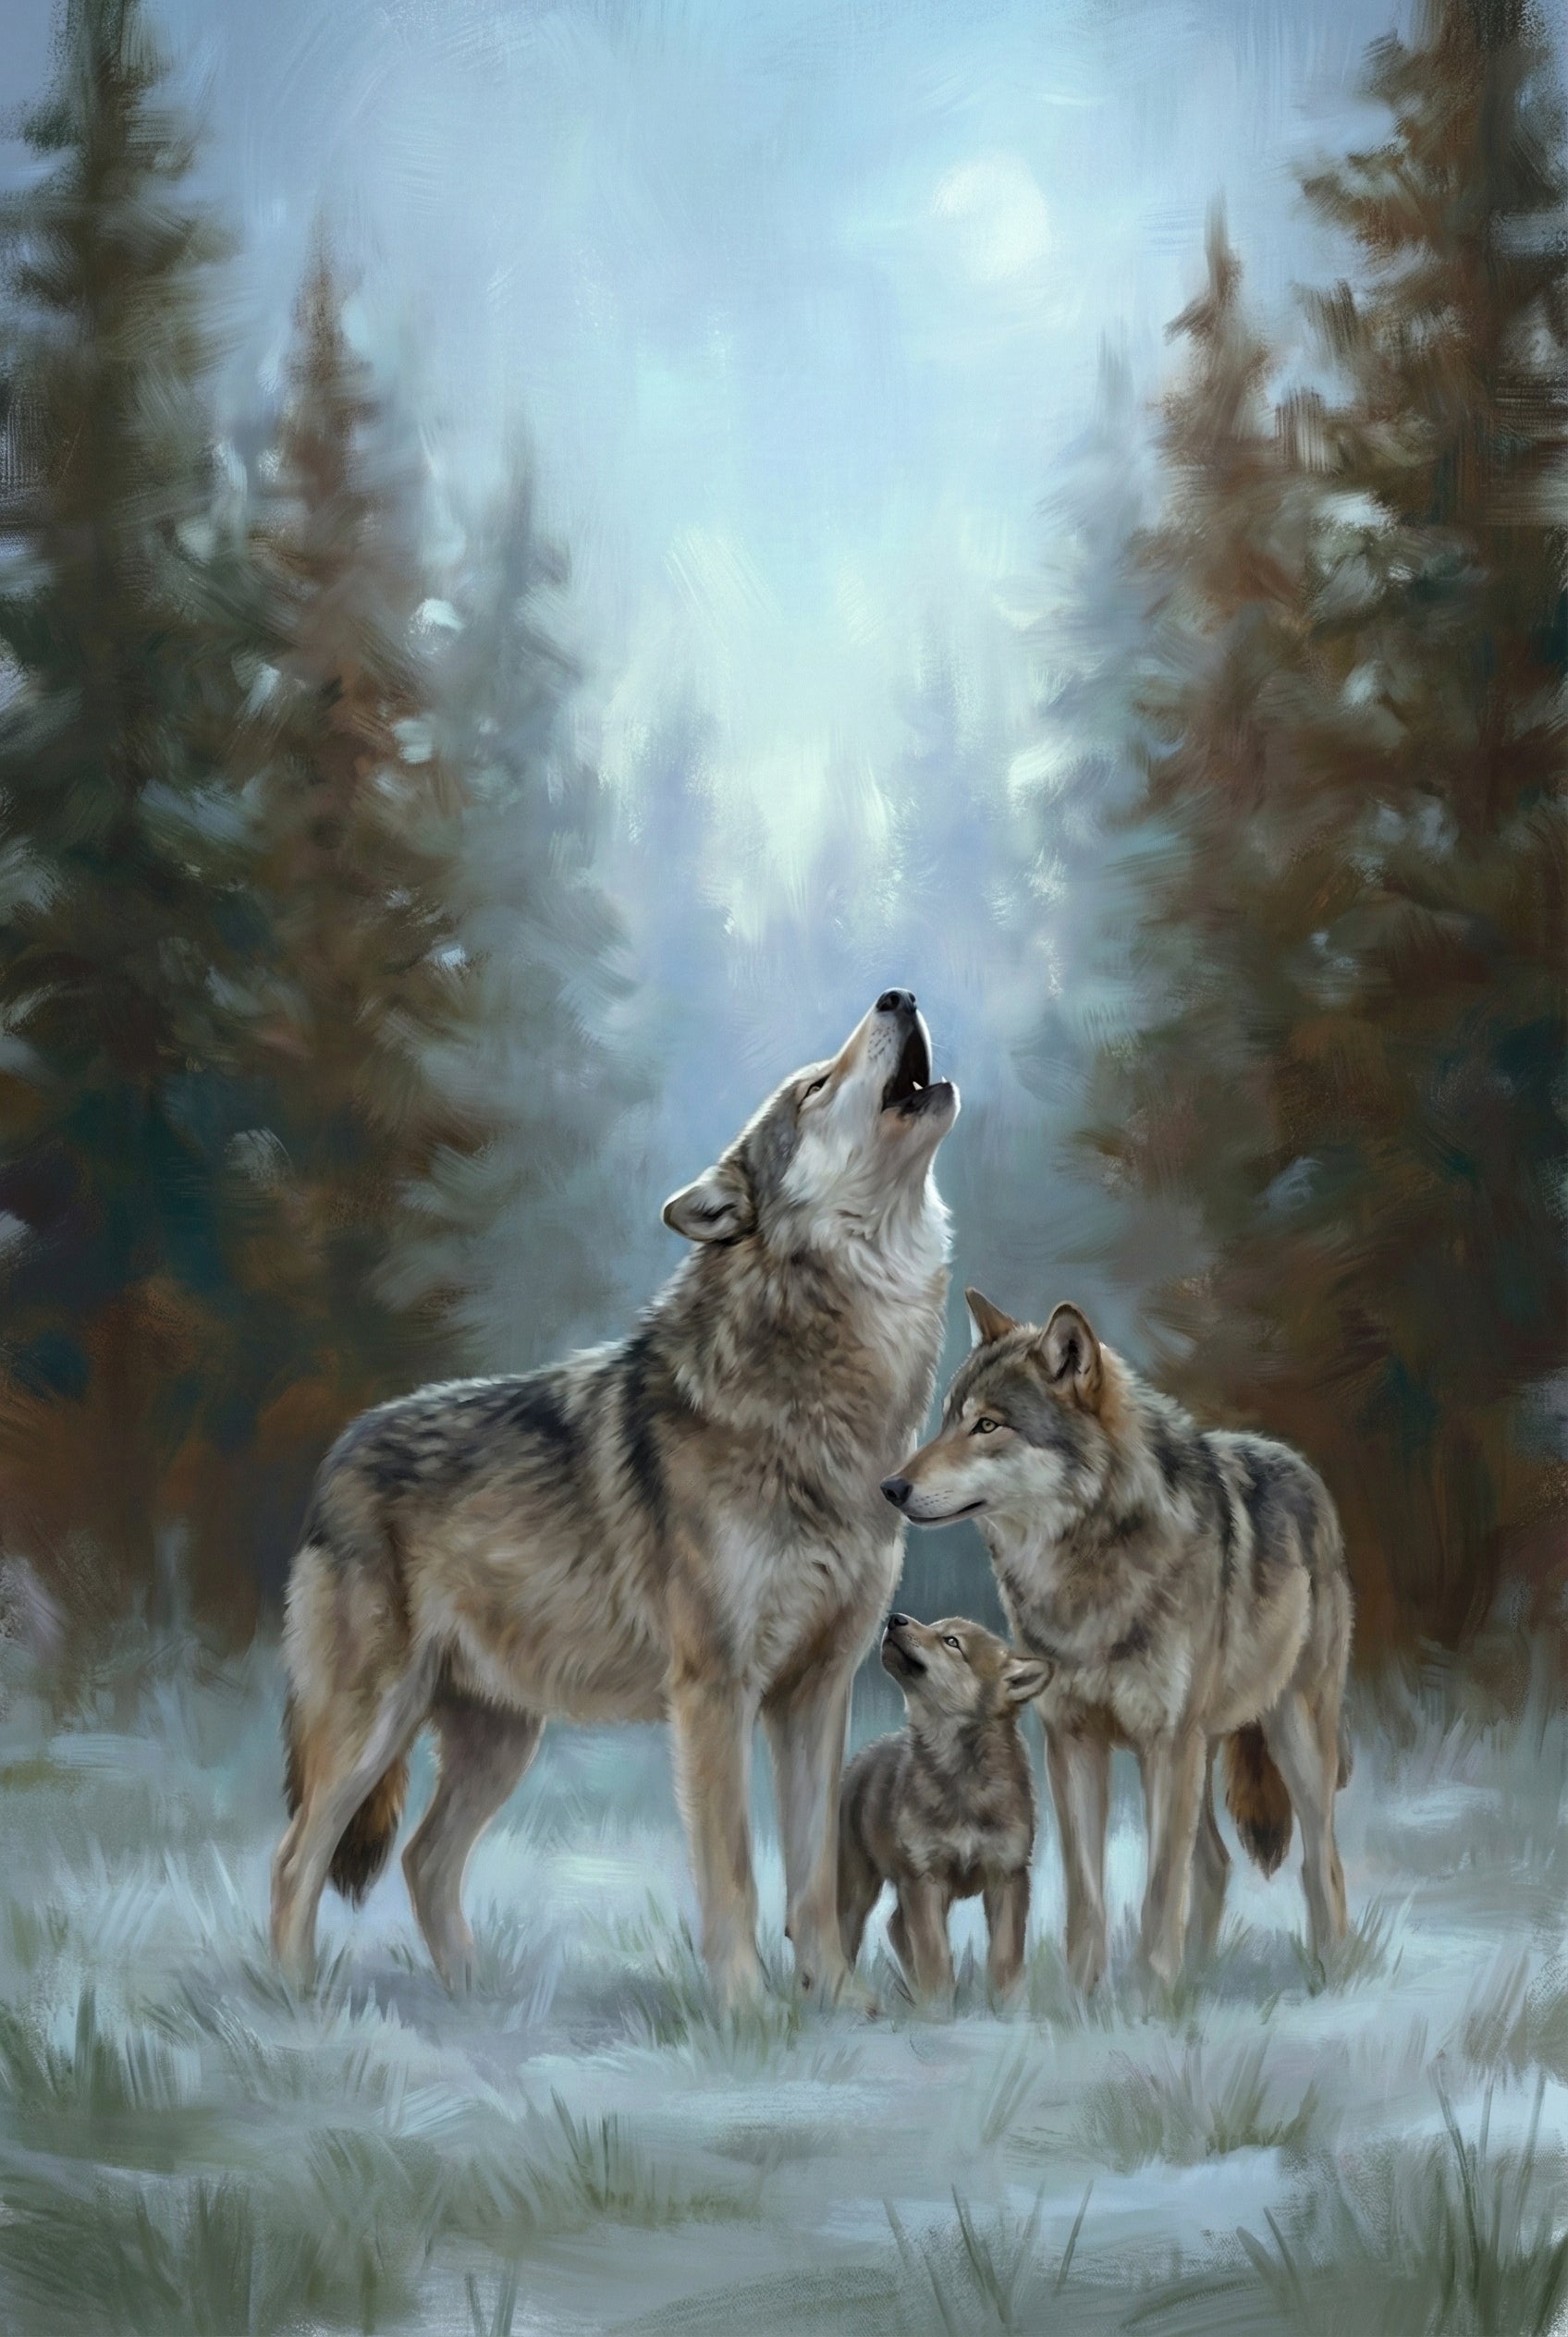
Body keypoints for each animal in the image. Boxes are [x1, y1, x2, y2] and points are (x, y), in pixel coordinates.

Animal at [271, 991, 957, 2009]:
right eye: (813, 1086)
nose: (897, 995)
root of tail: (338, 1453)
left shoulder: (817, 1691)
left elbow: (812, 1874)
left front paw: (836, 2000)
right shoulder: (714, 1691)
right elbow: (735, 1869)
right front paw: (747, 2011)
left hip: (499, 1740)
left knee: (425, 1859)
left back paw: (480, 1996)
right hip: (372, 1727)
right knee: (296, 1859)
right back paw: (295, 2002)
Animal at [838, 1613, 1050, 2002]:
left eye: (952, 1642)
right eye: (936, 1628)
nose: (894, 1619)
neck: (959, 1774)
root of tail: (863, 1755)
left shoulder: (1008, 1876)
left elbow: (1005, 1956)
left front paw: (1010, 2006)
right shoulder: (924, 1878)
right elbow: (935, 1957)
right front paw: (937, 2008)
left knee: (895, 1925)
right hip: (859, 1885)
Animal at [882, 1292, 1352, 1989]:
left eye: (989, 1426)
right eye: (946, 1423)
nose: (891, 1488)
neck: (1086, 1575)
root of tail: (1299, 1464)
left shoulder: (1166, 1745)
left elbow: (1159, 1891)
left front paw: (1149, 1997)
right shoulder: (1072, 1742)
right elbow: (1086, 1894)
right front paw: (1084, 1998)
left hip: (1290, 1736)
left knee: (1322, 1864)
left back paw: (1332, 1977)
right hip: (1206, 1749)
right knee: (1214, 1862)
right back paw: (1200, 1980)